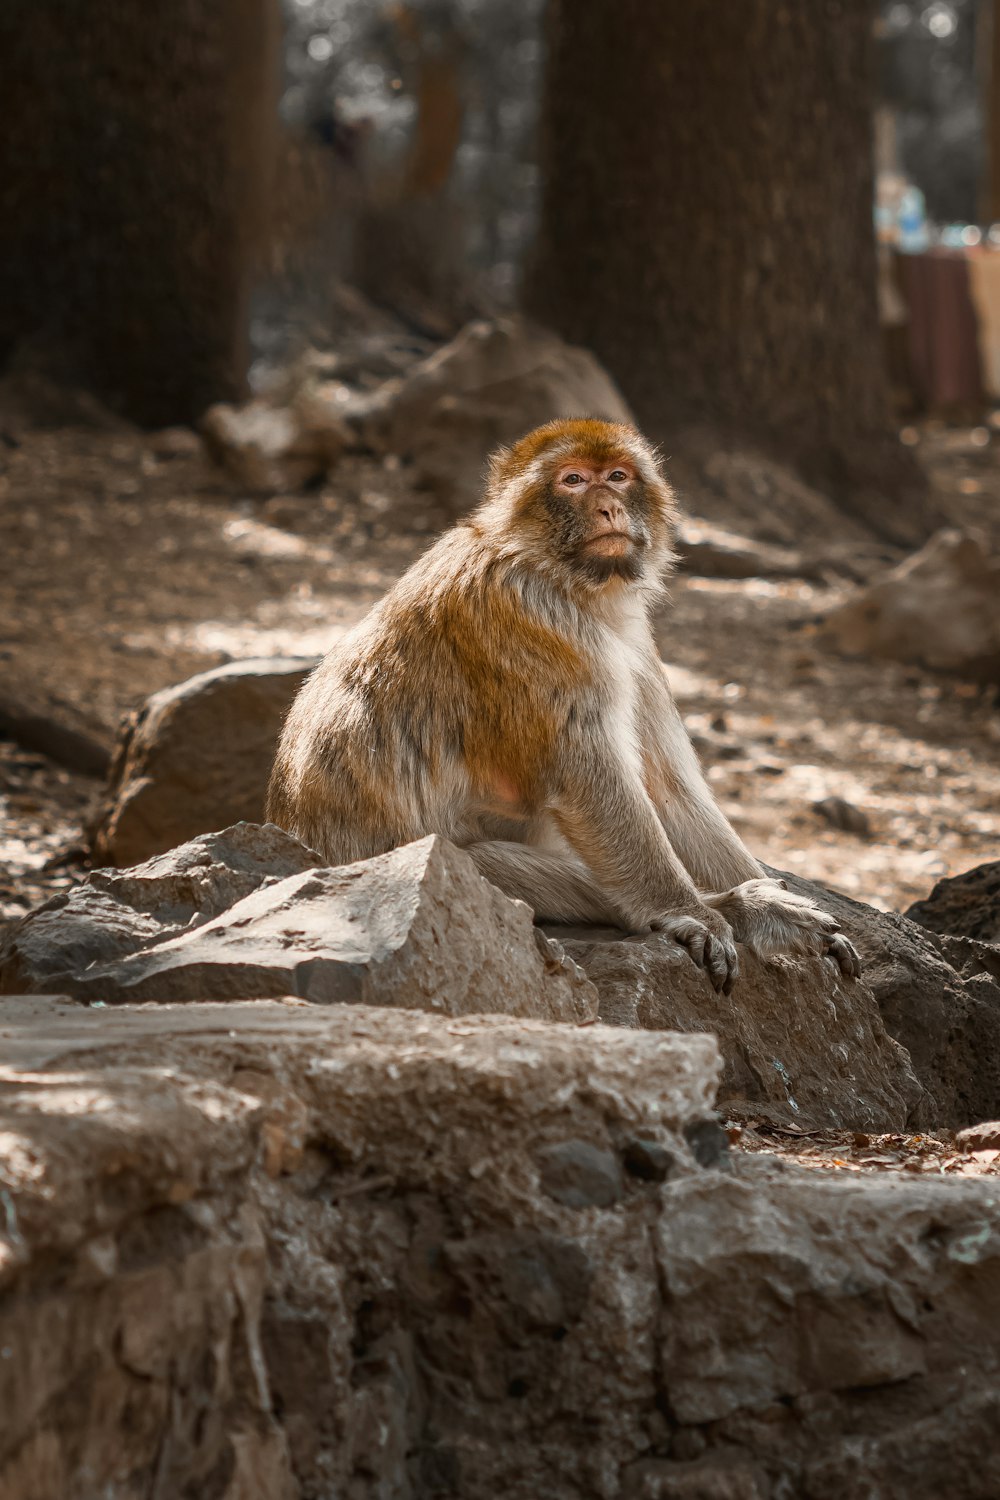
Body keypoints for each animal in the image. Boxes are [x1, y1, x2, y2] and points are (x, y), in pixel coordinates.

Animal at [265, 417, 863, 990]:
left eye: (618, 477)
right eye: (572, 480)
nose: (608, 507)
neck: (565, 579)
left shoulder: (636, 648)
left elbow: (671, 788)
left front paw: (764, 895)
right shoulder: (532, 626)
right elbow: (587, 781)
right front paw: (694, 912)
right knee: (477, 864)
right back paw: (735, 909)